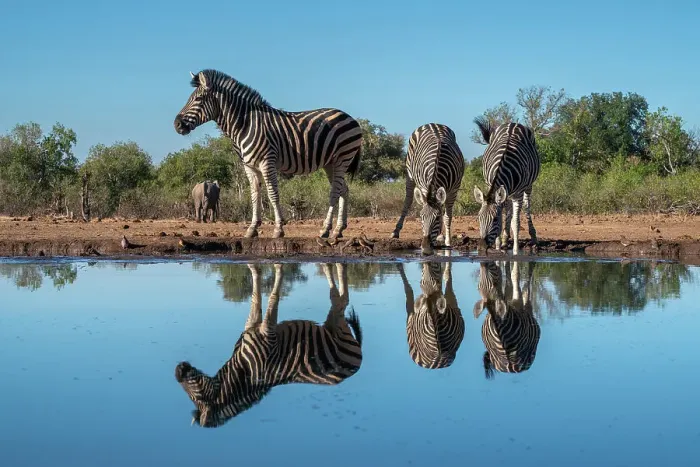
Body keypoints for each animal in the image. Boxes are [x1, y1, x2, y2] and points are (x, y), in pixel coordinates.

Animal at [173, 70, 363, 240]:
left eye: (197, 99)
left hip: (342, 158)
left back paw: (325, 229)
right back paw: (338, 230)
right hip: (330, 163)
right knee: (344, 190)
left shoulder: (267, 162)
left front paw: (278, 229)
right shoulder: (249, 166)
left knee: (335, 192)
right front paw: (252, 229)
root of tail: (351, 118)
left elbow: (272, 194)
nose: (177, 124)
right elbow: (254, 195)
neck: (245, 125)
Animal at [174, 262, 363, 428]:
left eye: (196, 397)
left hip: (339, 328)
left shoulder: (267, 332)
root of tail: (356, 367)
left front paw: (278, 267)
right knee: (340, 300)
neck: (243, 370)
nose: (177, 370)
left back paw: (332, 265)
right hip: (333, 326)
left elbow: (272, 298)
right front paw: (256, 269)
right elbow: (255, 299)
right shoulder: (253, 324)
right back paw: (331, 265)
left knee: (341, 300)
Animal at [391, 123, 465, 255]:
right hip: (409, 173)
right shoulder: (424, 187)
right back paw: (396, 231)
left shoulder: (454, 189)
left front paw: (447, 241)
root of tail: (433, 123)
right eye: (421, 217)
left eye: (437, 218)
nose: (425, 249)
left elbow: (447, 216)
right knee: (408, 200)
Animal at [472, 117, 541, 255]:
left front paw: (515, 251)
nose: (481, 248)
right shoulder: (491, 186)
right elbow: (504, 215)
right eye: (478, 218)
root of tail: (512, 123)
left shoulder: (518, 194)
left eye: (494, 220)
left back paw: (533, 237)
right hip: (506, 192)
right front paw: (498, 245)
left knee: (527, 206)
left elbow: (516, 222)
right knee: (508, 208)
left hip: (527, 187)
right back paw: (505, 239)